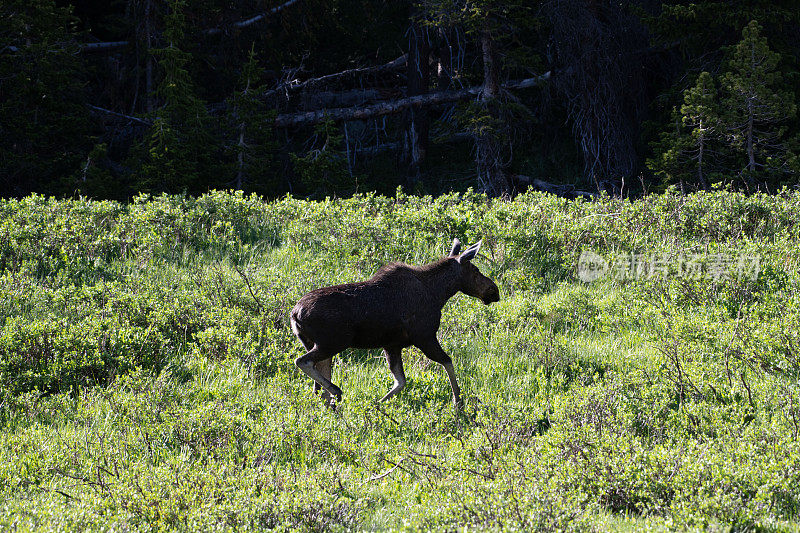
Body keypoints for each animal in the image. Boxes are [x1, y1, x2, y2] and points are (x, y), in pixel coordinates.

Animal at [290, 239, 496, 406]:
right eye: (476, 270)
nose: (494, 291)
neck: (439, 293)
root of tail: (294, 314)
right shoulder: (425, 336)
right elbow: (447, 361)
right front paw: (458, 402)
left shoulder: (392, 345)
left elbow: (400, 382)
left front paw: (376, 405)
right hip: (333, 342)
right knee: (302, 362)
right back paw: (336, 391)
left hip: (315, 343)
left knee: (318, 387)